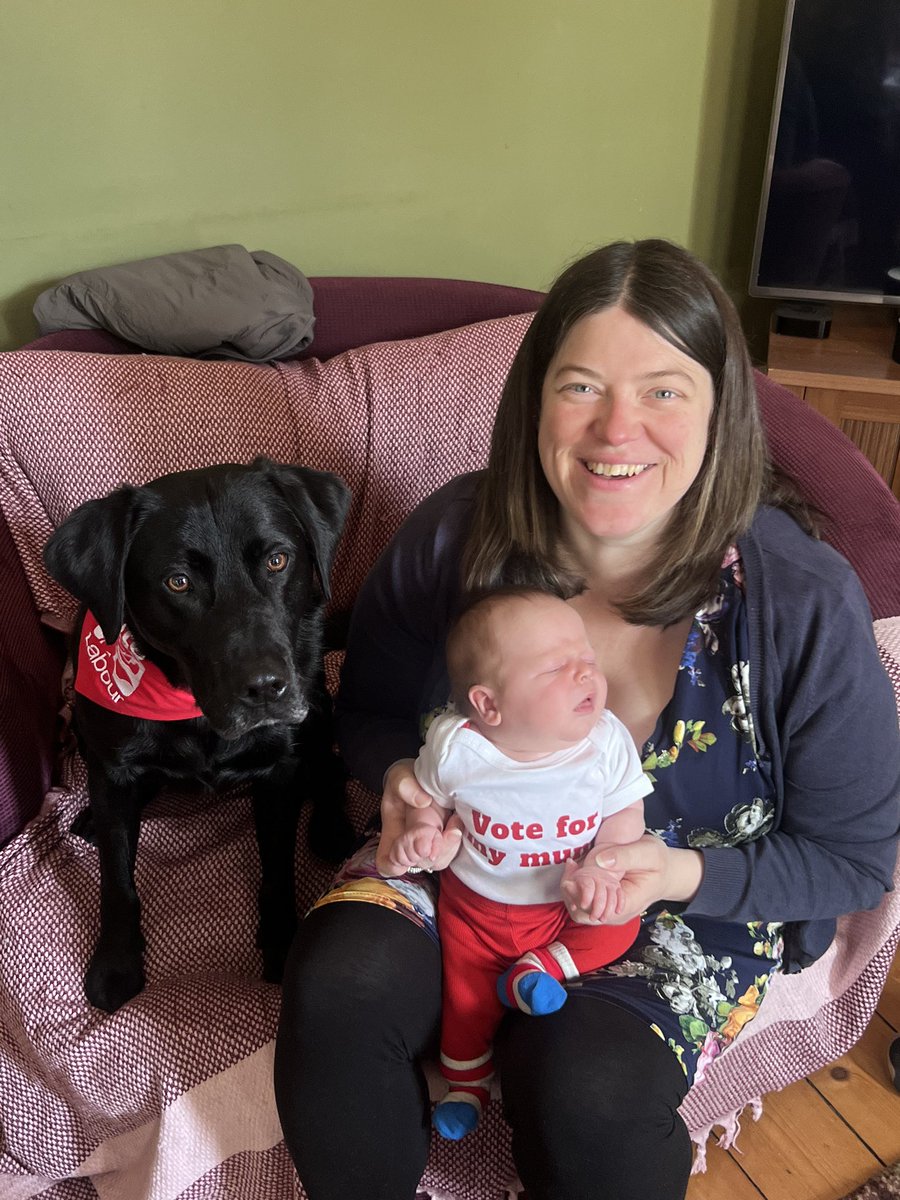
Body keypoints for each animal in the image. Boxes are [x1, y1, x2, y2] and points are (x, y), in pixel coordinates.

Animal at [45, 458, 352, 1012]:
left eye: (278, 560)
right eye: (178, 582)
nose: (266, 687)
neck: (192, 711)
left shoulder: (279, 769)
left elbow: (278, 865)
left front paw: (282, 943)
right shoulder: (114, 772)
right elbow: (116, 879)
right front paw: (116, 963)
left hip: (315, 705)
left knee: (331, 763)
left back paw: (331, 826)